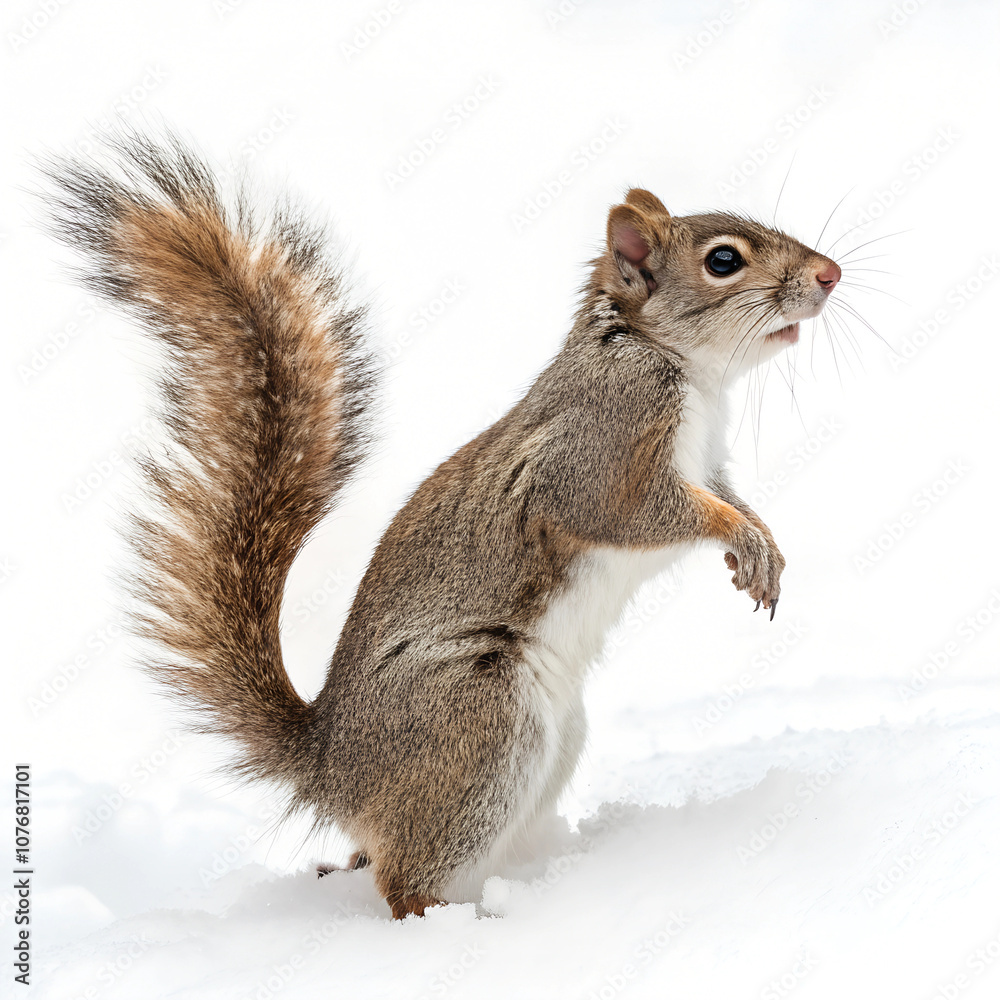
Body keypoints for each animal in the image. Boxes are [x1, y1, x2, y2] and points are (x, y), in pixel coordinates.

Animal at [42, 131, 841, 919]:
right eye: (724, 261)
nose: (830, 274)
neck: (679, 365)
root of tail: (329, 769)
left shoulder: (707, 461)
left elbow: (730, 498)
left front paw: (762, 547)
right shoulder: (601, 447)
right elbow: (637, 511)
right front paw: (743, 540)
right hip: (480, 717)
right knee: (403, 883)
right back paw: (464, 921)